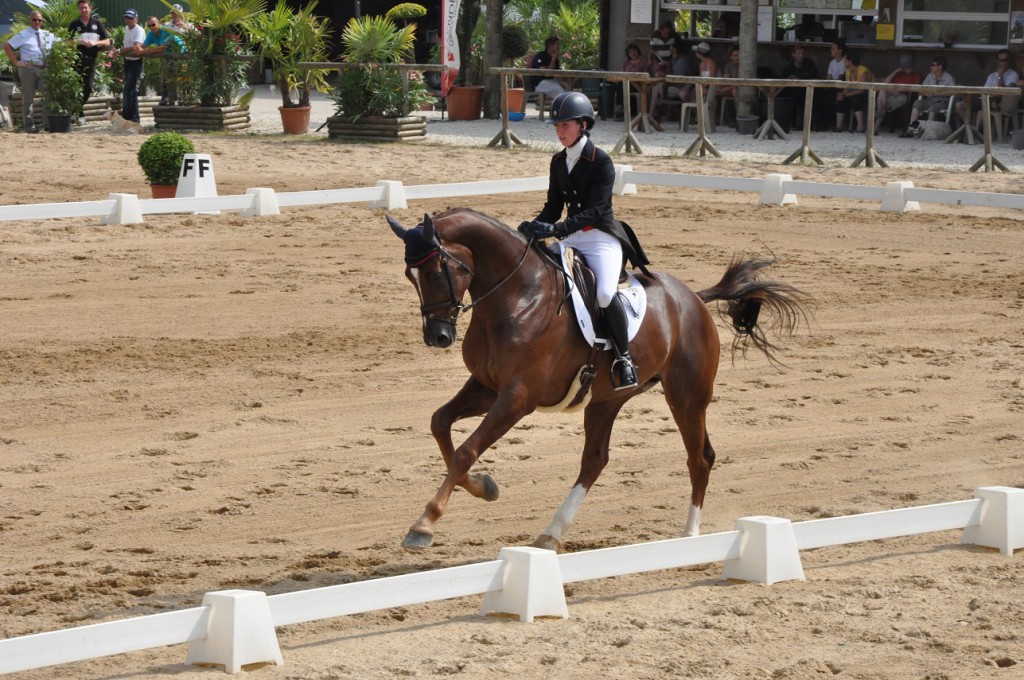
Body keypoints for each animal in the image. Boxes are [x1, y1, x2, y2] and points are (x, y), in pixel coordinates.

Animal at [385, 208, 806, 553]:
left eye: (437, 270)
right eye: (409, 275)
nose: (438, 336)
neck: (516, 297)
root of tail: (694, 300)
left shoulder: (517, 397)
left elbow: (466, 450)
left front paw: (423, 525)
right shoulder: (486, 387)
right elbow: (440, 423)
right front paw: (484, 487)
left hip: (687, 396)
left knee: (699, 457)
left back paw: (689, 537)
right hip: (607, 399)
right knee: (595, 460)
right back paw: (552, 533)